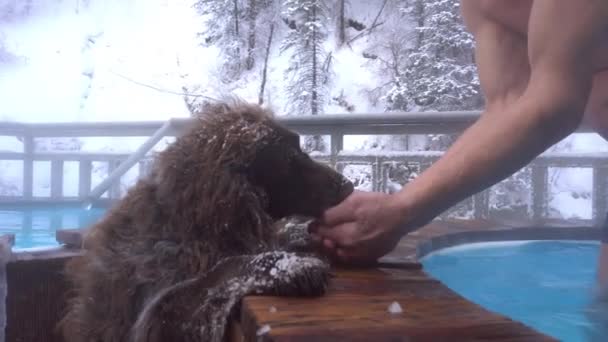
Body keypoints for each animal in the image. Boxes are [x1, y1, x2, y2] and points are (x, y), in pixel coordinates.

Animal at [59, 101, 354, 342]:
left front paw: (298, 234)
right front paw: (292, 266)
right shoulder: (157, 319)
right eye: (291, 159)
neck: (190, 226)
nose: (349, 186)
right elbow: (220, 271)